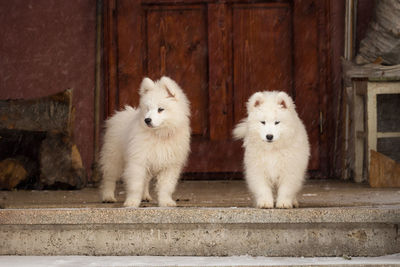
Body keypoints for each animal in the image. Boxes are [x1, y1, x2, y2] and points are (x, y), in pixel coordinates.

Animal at [101, 76, 192, 208]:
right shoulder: (138, 161)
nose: (147, 120)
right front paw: (132, 202)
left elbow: (166, 186)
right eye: (147, 109)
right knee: (109, 178)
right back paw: (108, 197)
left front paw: (166, 202)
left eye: (160, 109)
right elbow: (135, 185)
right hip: (113, 158)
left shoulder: (169, 165)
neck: (159, 134)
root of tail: (122, 113)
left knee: (145, 181)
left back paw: (145, 197)